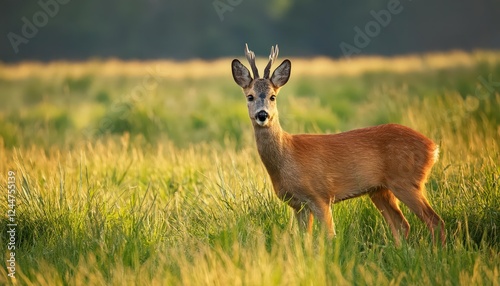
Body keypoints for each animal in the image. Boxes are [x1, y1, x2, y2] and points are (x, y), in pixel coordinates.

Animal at [230, 44, 446, 246]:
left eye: (273, 96)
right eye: (249, 96)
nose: (262, 115)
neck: (287, 156)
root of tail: (433, 148)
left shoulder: (320, 195)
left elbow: (329, 235)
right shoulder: (298, 204)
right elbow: (304, 239)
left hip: (406, 181)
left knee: (435, 221)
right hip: (380, 190)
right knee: (402, 224)